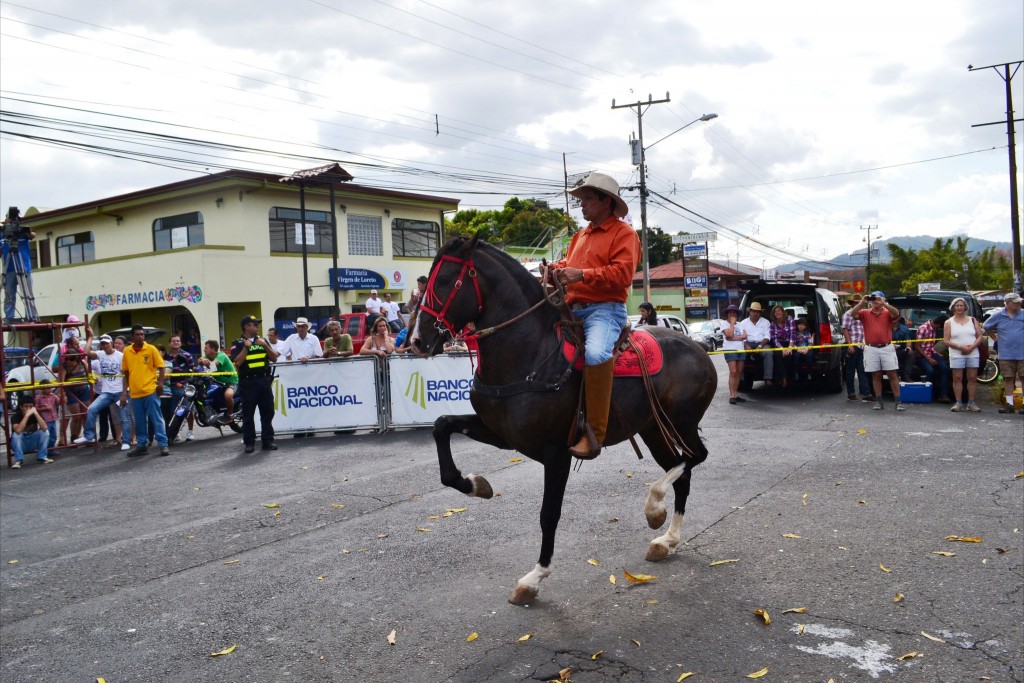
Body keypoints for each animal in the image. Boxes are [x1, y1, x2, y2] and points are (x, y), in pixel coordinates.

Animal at [411, 236, 716, 602]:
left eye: (444, 280)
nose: (416, 340)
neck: (531, 354)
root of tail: (700, 348)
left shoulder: (556, 453)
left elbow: (548, 514)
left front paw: (534, 577)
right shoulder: (502, 433)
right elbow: (441, 426)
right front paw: (475, 485)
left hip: (680, 424)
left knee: (695, 457)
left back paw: (654, 508)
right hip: (653, 430)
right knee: (682, 472)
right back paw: (666, 540)